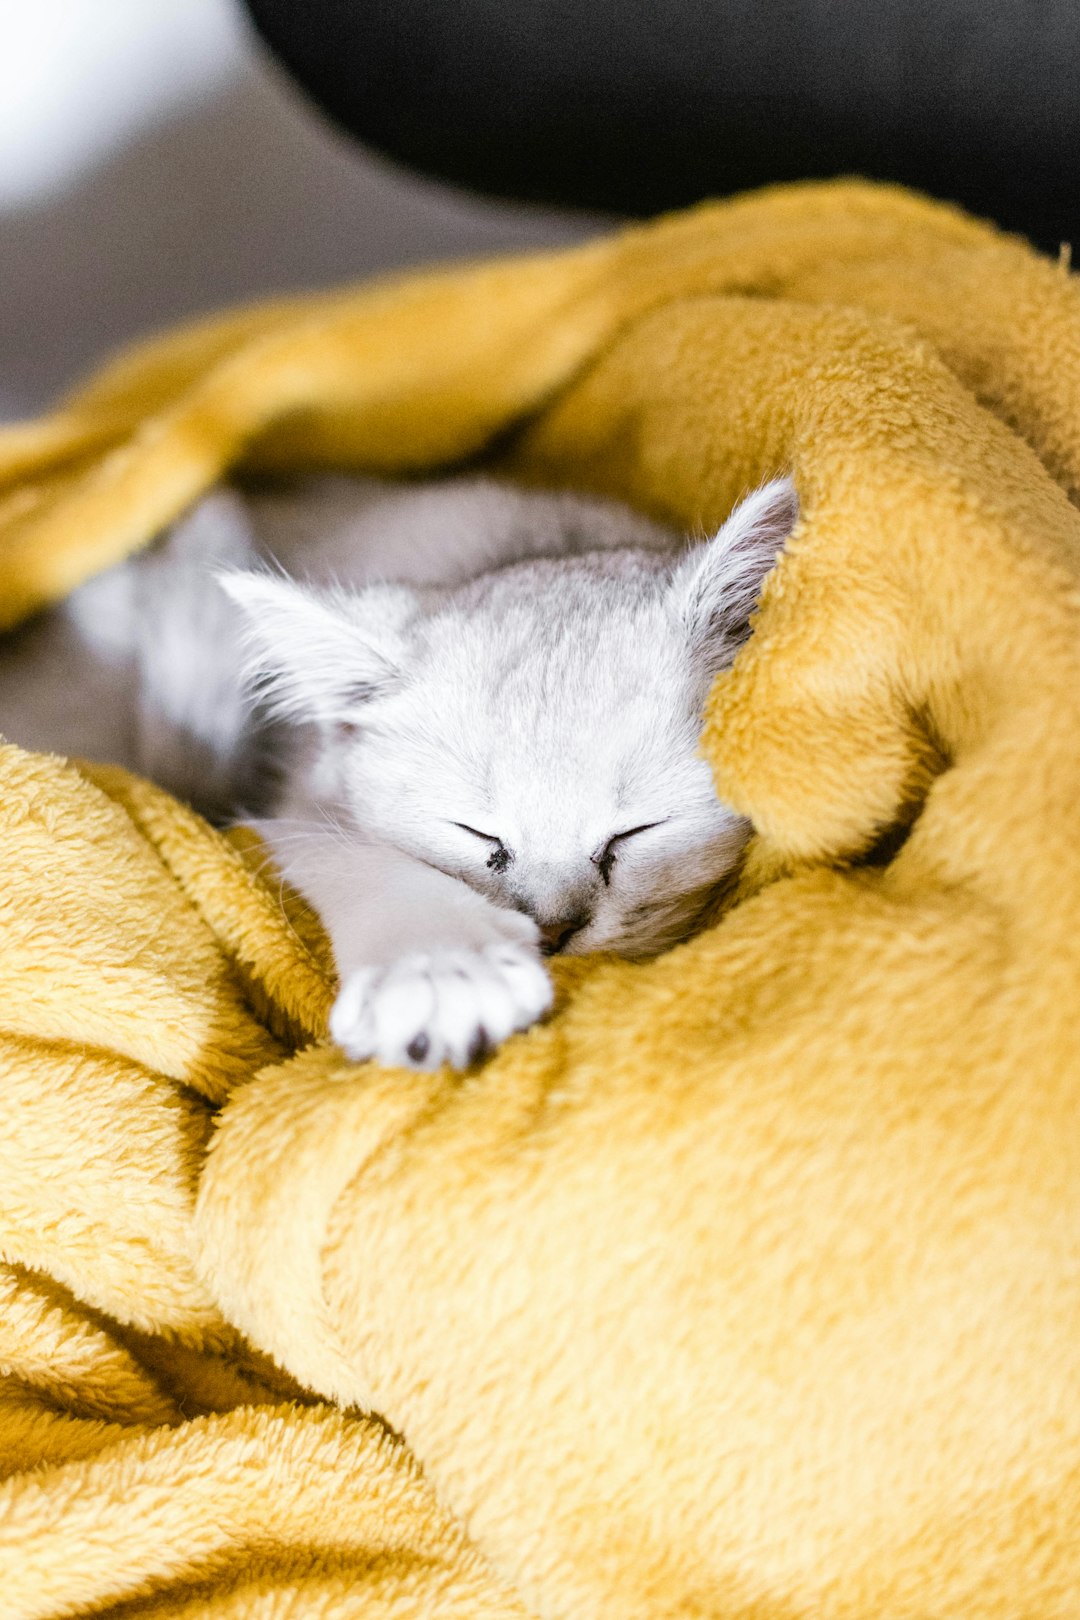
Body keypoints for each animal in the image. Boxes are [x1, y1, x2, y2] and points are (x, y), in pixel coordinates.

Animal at [0, 473, 793, 1069]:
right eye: (478, 835)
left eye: (634, 833)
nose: (554, 930)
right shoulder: (285, 814)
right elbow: (360, 859)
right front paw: (441, 967)